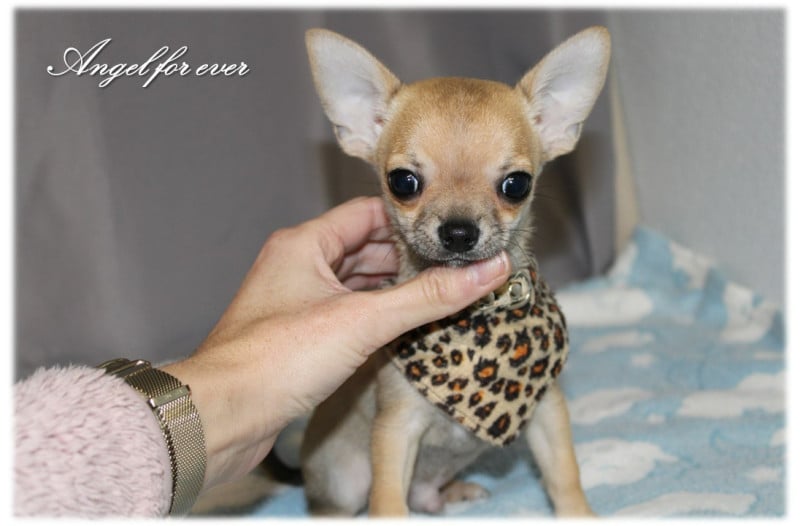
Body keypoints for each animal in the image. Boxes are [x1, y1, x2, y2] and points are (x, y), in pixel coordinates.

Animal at [300, 26, 610, 517]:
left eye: (516, 184)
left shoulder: (547, 412)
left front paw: (579, 514)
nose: (459, 231)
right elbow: (387, 501)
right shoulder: (395, 430)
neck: (473, 320)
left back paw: (453, 493)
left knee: (425, 497)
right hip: (343, 481)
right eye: (403, 181)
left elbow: (564, 474)